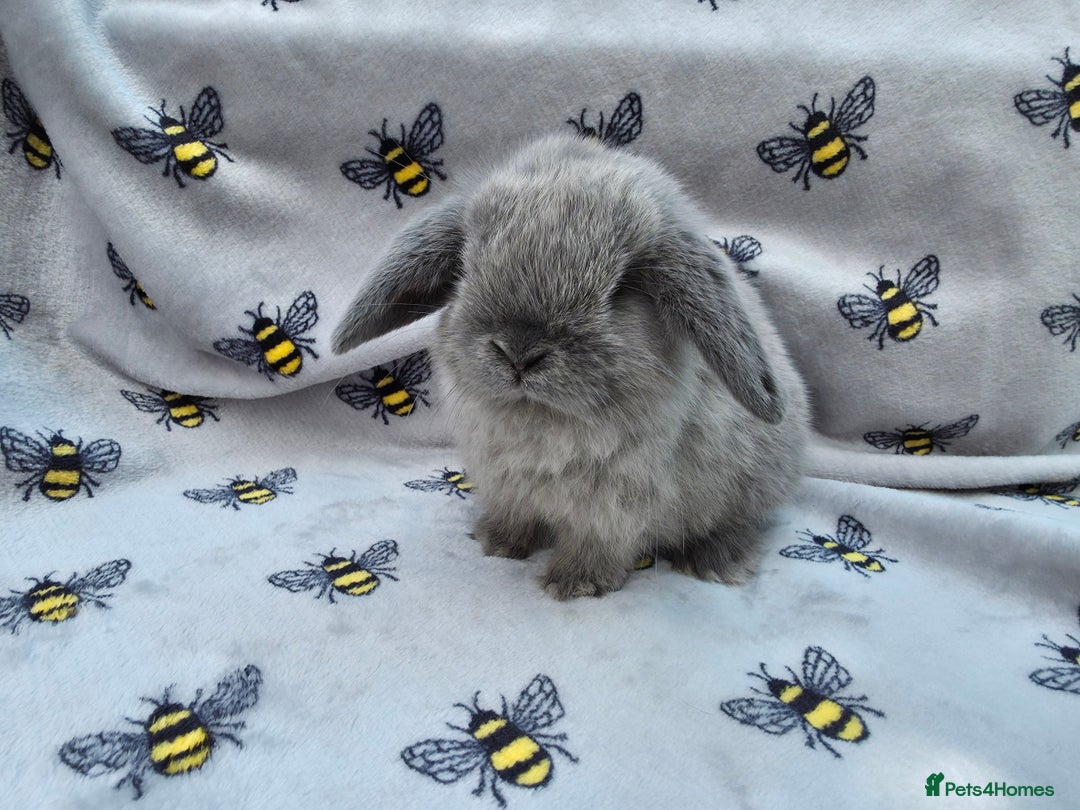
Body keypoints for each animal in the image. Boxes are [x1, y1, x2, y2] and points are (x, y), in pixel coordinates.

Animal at [333, 132, 809, 599]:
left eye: (623, 288)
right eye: (466, 266)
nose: (519, 352)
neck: (543, 419)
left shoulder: (614, 509)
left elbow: (597, 545)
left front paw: (573, 583)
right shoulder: (508, 488)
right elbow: (515, 518)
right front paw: (496, 543)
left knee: (740, 522)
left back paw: (715, 562)